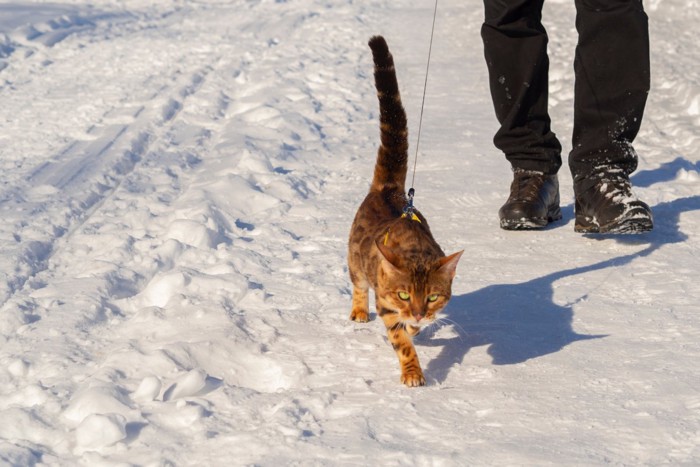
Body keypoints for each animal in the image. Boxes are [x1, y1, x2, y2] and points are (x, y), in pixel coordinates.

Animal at [348, 35, 462, 388]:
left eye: (432, 297)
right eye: (403, 294)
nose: (419, 313)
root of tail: (390, 189)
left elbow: (410, 331)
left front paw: (416, 328)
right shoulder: (387, 304)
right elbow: (401, 341)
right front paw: (413, 372)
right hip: (355, 260)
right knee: (357, 284)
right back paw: (359, 311)